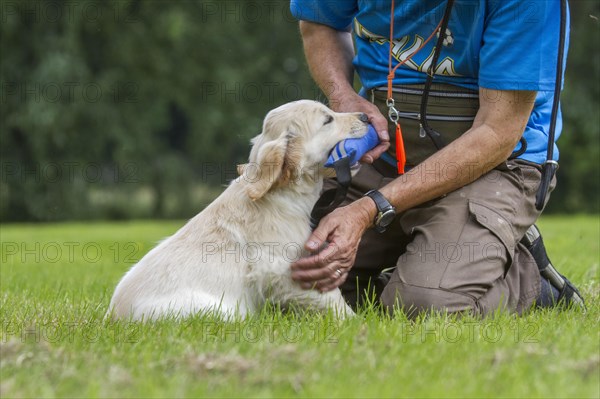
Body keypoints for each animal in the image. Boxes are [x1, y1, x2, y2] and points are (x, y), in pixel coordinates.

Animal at [109, 101, 370, 322]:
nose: (366, 116)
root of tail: (113, 319)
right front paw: (359, 323)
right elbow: (332, 299)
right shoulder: (283, 270)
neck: (281, 193)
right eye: (328, 120)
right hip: (216, 310)